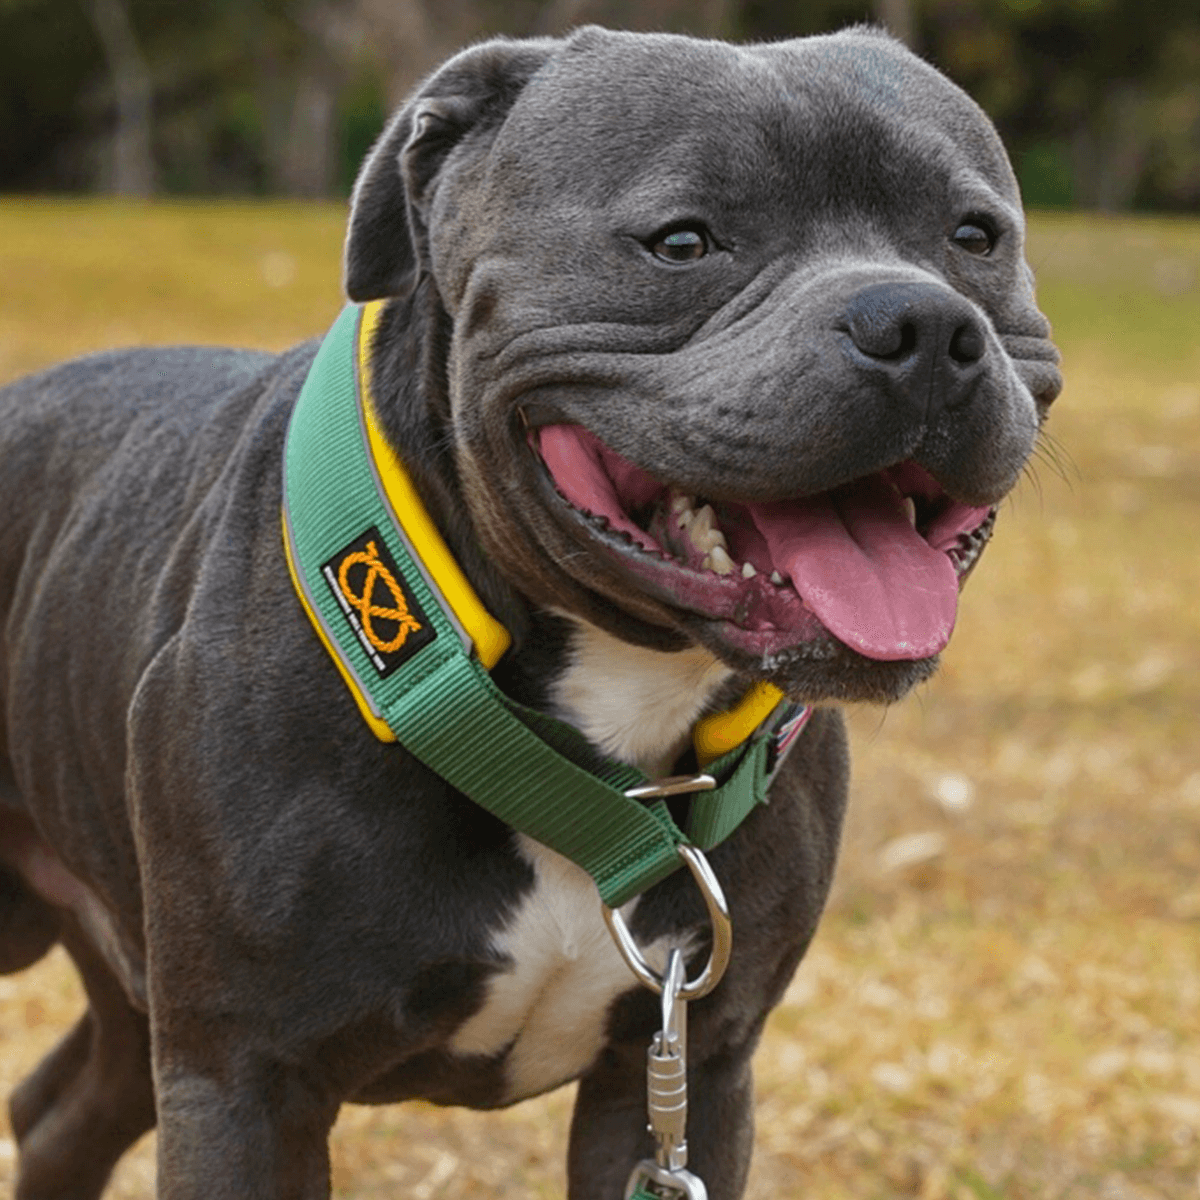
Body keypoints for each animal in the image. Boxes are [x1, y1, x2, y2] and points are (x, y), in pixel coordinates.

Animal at [0, 25, 1060, 1200]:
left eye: (975, 236)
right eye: (683, 242)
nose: (919, 321)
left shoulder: (685, 1066)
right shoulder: (245, 1079)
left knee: (61, 1110)